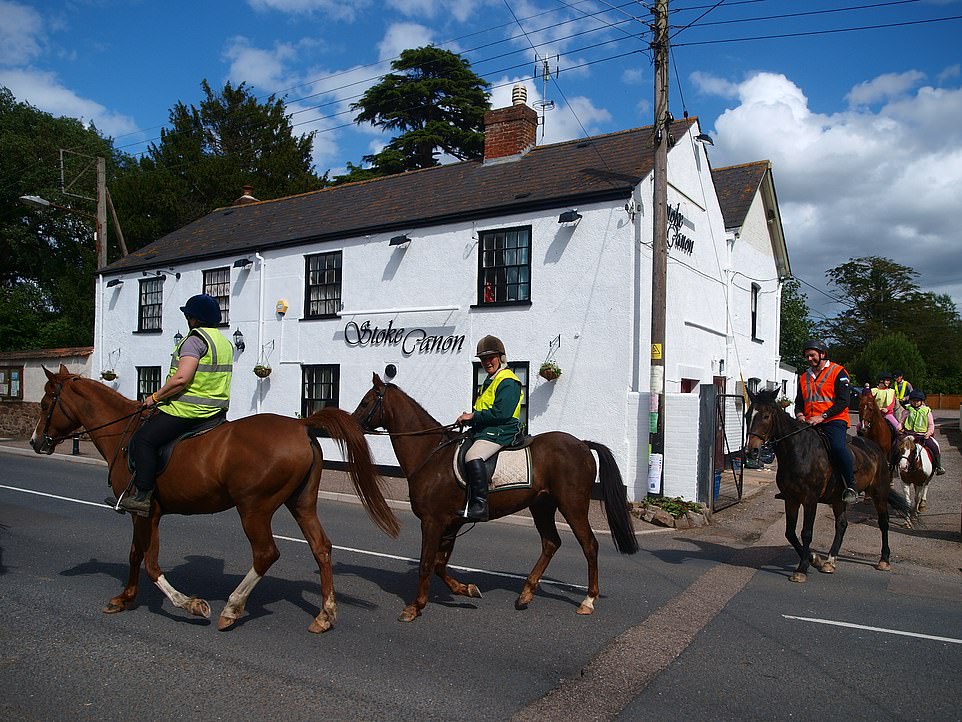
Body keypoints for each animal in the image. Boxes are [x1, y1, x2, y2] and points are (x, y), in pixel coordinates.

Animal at [30, 366, 398, 632]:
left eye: (47, 405)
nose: (36, 442)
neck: (126, 433)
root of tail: (301, 426)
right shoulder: (146, 514)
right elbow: (136, 555)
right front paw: (125, 598)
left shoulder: (146, 512)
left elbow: (149, 562)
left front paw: (191, 604)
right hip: (301, 503)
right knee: (321, 548)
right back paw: (325, 614)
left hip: (254, 509)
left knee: (266, 554)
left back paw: (232, 608)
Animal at [350, 374, 636, 620]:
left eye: (365, 402)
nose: (351, 426)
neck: (431, 454)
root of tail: (582, 444)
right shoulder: (451, 523)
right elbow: (439, 564)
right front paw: (466, 589)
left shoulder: (432, 522)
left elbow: (426, 563)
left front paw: (415, 607)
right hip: (542, 506)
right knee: (551, 543)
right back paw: (526, 594)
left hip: (572, 505)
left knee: (589, 545)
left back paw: (588, 600)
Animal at [744, 388, 908, 580]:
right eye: (747, 415)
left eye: (766, 416)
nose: (752, 450)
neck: (798, 451)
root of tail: (875, 449)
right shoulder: (791, 499)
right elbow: (790, 533)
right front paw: (814, 560)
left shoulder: (810, 500)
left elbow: (806, 533)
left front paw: (802, 568)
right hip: (838, 499)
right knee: (842, 524)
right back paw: (830, 561)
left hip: (879, 493)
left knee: (883, 522)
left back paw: (884, 560)